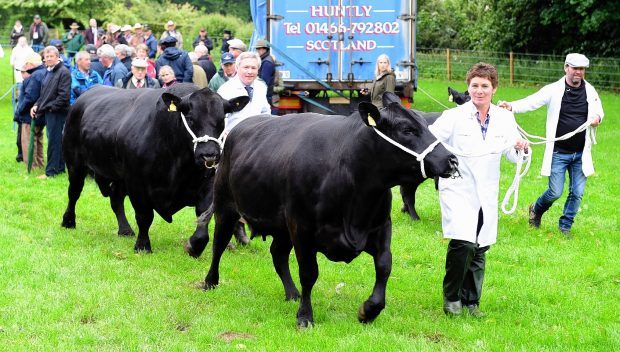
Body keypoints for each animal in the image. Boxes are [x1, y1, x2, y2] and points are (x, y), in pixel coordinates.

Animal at [60, 85, 248, 253]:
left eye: (222, 120)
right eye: (190, 118)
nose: (209, 155)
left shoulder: (207, 183)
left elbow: (203, 215)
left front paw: (194, 246)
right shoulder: (137, 183)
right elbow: (144, 216)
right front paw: (143, 246)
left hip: (119, 176)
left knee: (116, 198)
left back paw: (125, 229)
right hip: (75, 163)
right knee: (74, 192)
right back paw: (68, 222)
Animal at [201, 92, 458, 326]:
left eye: (425, 125)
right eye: (407, 130)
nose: (451, 160)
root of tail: (241, 126)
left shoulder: (381, 226)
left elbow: (385, 266)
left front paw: (369, 310)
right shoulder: (302, 228)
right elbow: (309, 273)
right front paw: (305, 317)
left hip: (281, 225)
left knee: (278, 253)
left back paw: (291, 293)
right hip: (226, 206)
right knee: (219, 244)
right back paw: (210, 282)